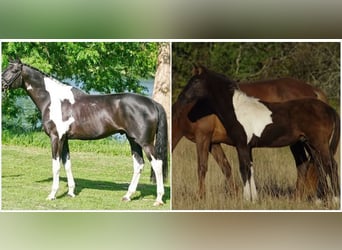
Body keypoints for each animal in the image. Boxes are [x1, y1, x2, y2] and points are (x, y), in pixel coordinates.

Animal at [2, 59, 168, 206]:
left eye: (14, 71)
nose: (2, 86)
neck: (53, 100)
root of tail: (152, 103)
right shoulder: (65, 139)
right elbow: (67, 163)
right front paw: (70, 192)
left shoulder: (56, 138)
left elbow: (56, 165)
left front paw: (52, 194)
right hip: (133, 140)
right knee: (139, 164)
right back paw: (127, 196)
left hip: (145, 142)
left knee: (157, 163)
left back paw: (158, 199)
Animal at [176, 65, 340, 202]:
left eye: (196, 81)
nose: (181, 98)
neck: (237, 109)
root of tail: (329, 109)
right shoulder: (247, 147)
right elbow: (250, 169)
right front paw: (253, 198)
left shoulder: (241, 145)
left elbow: (244, 169)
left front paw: (246, 199)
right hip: (310, 144)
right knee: (319, 165)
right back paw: (320, 200)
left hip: (319, 143)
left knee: (330, 165)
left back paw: (334, 199)